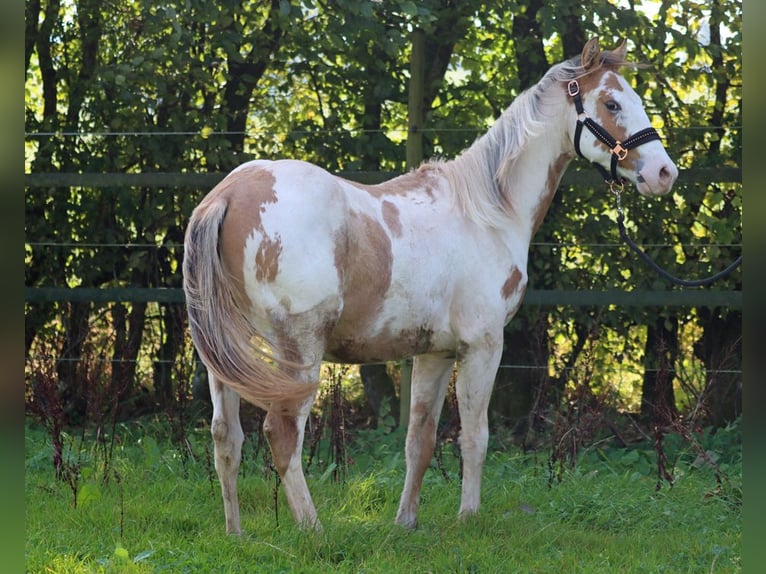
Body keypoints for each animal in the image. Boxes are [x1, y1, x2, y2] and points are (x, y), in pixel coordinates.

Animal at [184, 37, 680, 536]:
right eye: (612, 103)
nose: (664, 173)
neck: (488, 212)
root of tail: (228, 194)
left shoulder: (433, 352)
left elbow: (418, 441)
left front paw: (405, 522)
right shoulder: (483, 346)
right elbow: (475, 438)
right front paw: (468, 518)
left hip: (226, 358)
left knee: (226, 438)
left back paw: (236, 534)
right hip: (298, 351)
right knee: (282, 434)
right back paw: (314, 531)